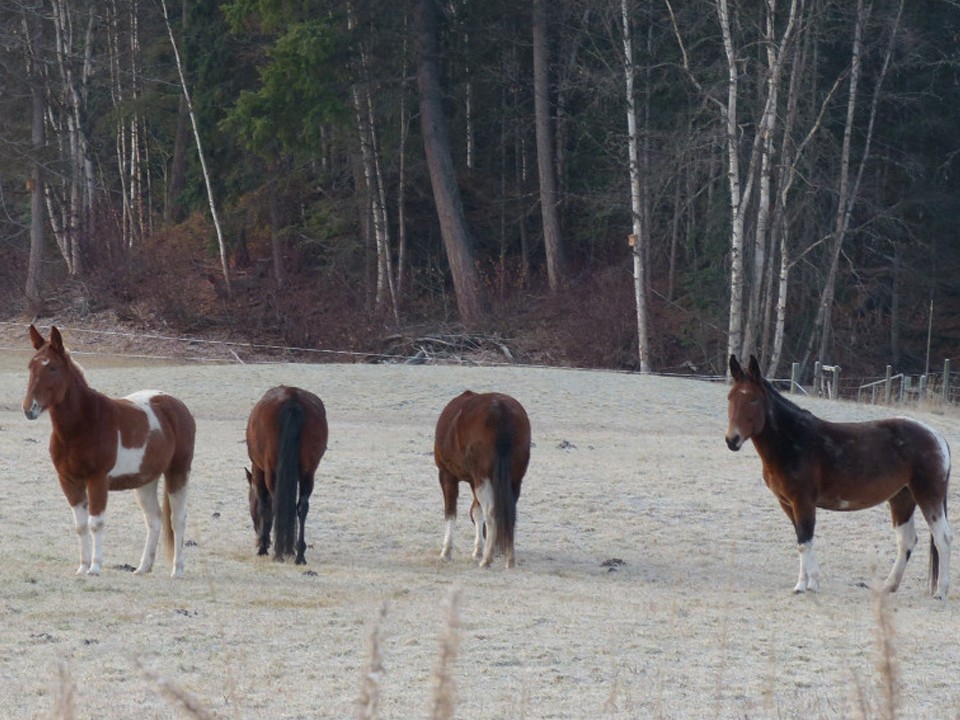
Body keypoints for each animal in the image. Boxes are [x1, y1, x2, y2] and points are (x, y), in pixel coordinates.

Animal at [23, 326, 195, 580]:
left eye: (52, 367)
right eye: (30, 366)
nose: (29, 408)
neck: (83, 425)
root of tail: (175, 404)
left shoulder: (97, 480)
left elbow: (96, 523)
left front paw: (95, 567)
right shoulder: (69, 482)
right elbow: (81, 525)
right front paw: (82, 567)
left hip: (178, 472)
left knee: (178, 519)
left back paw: (178, 570)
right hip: (145, 481)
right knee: (154, 519)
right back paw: (143, 568)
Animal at [246, 386, 328, 564]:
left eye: (250, 503)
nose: (256, 541)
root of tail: (292, 399)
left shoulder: (258, 470)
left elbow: (264, 505)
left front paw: (263, 547)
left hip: (270, 470)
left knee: (276, 502)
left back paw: (278, 552)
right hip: (308, 472)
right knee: (302, 506)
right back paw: (299, 554)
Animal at [436, 394, 532, 568]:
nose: (498, 549)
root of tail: (501, 410)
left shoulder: (447, 475)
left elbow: (451, 512)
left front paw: (446, 552)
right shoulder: (475, 481)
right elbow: (476, 511)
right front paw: (478, 550)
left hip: (482, 478)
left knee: (492, 512)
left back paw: (487, 559)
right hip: (514, 480)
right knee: (509, 512)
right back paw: (509, 558)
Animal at [728, 354, 952, 596]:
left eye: (752, 399)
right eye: (730, 397)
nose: (732, 439)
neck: (793, 441)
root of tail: (936, 436)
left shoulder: (803, 501)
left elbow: (805, 541)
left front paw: (808, 585)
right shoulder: (787, 503)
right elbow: (800, 539)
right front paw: (804, 584)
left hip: (928, 495)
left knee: (942, 538)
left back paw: (941, 592)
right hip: (903, 497)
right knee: (906, 540)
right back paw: (888, 587)